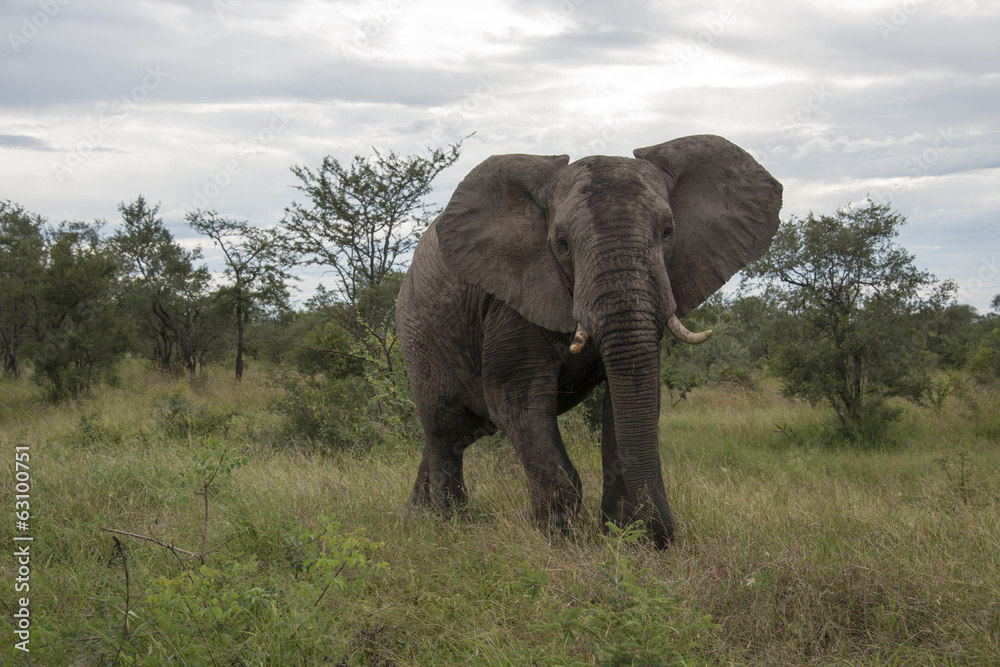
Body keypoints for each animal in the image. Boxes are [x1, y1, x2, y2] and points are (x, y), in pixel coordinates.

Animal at [396, 136, 780, 548]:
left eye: (667, 232)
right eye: (562, 243)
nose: (661, 539)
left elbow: (631, 396)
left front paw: (622, 534)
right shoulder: (512, 300)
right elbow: (515, 397)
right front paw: (557, 538)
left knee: (454, 433)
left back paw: (416, 516)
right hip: (419, 336)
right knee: (444, 427)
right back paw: (449, 525)